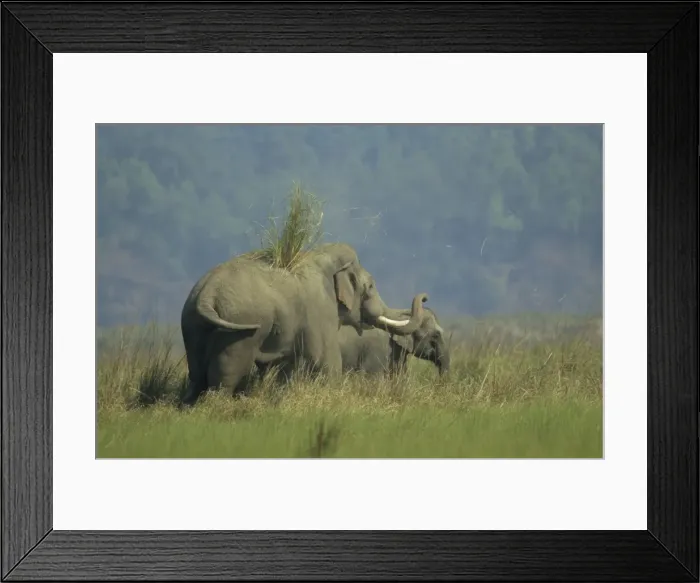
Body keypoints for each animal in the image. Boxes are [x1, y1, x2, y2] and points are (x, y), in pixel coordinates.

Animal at [179, 242, 429, 405]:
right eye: (370, 287)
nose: (425, 297)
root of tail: (207, 292)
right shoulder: (320, 309)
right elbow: (327, 361)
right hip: (238, 327)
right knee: (227, 373)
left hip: (191, 324)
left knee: (197, 375)